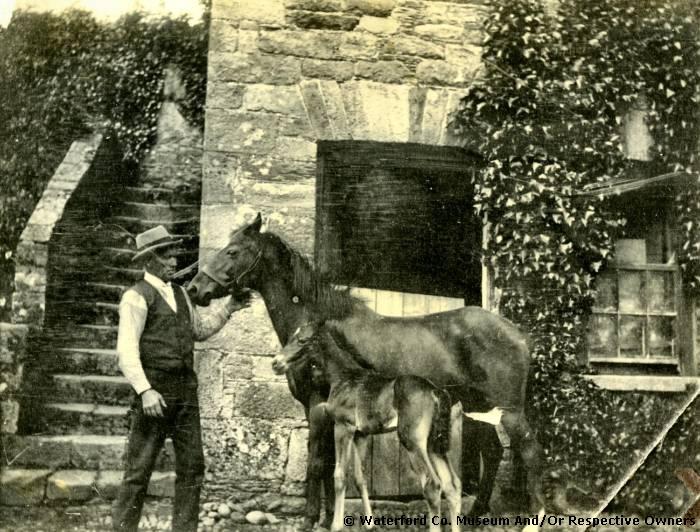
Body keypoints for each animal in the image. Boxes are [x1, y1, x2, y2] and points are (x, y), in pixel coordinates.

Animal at [276, 323, 462, 532]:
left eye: (302, 340)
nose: (276, 363)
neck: (344, 377)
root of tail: (435, 390)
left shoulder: (343, 427)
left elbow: (340, 475)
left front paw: (336, 525)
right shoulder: (361, 435)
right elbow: (360, 478)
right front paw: (369, 524)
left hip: (412, 441)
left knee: (432, 485)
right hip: (434, 444)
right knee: (452, 485)